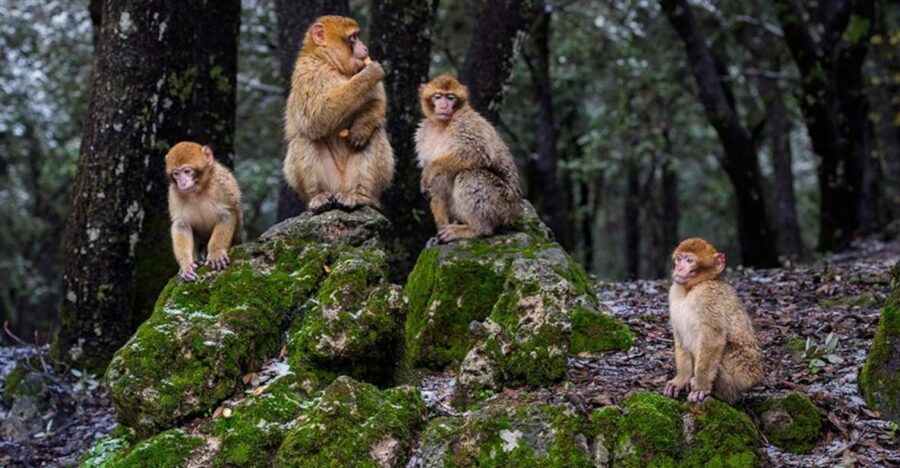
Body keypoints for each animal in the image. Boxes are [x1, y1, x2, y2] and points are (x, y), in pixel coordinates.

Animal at [166, 142, 242, 282]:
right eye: (176, 174)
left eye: (187, 171)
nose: (182, 183)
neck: (198, 190)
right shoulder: (174, 194)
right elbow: (181, 225)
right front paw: (186, 264)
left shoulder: (223, 183)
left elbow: (227, 214)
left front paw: (216, 252)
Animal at [283, 16, 394, 213]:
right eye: (353, 38)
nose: (365, 48)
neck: (329, 63)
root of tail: (340, 188)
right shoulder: (306, 72)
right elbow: (316, 118)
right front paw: (369, 74)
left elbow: (377, 104)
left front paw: (361, 127)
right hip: (330, 182)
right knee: (304, 136)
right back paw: (318, 196)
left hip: (352, 182)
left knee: (375, 133)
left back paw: (360, 196)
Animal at [414, 75, 522, 246]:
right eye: (438, 97)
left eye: (450, 97)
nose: (443, 106)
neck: (442, 124)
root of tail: (513, 213)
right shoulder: (423, 134)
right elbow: (435, 179)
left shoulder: (465, 124)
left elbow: (477, 153)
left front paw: (430, 171)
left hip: (503, 205)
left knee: (469, 175)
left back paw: (477, 229)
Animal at [663, 238, 764, 403]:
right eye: (679, 259)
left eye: (689, 260)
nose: (679, 268)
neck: (693, 287)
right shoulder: (674, 292)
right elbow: (680, 335)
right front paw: (681, 380)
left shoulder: (708, 297)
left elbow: (712, 339)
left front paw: (701, 387)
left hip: (744, 371)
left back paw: (723, 393)